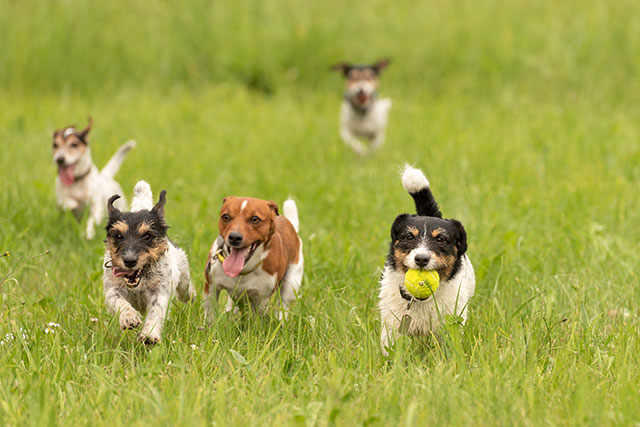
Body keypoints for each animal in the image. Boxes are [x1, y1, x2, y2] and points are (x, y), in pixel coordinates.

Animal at [100, 181, 192, 344]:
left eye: (148, 236)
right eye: (118, 235)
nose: (129, 261)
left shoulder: (159, 291)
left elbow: (156, 310)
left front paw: (149, 335)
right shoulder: (112, 288)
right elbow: (118, 300)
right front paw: (129, 317)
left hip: (183, 275)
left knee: (185, 289)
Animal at [380, 166, 476, 356]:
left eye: (441, 239)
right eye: (409, 237)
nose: (421, 259)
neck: (421, 300)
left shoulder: (450, 322)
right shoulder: (392, 325)